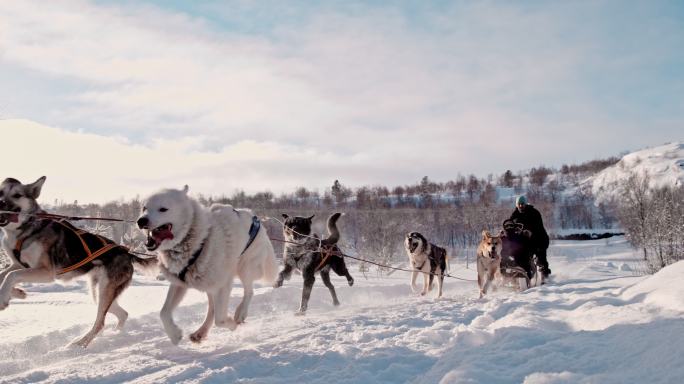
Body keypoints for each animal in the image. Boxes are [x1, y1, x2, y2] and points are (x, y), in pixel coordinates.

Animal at [136, 186, 278, 344]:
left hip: (245, 268)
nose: (141, 221)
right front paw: (174, 334)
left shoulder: (223, 284)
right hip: (209, 285)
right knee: (212, 309)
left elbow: (220, 320)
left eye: (163, 209)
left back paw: (240, 313)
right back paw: (201, 332)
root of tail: (255, 218)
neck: (198, 241)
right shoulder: (180, 283)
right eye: (144, 208)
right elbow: (163, 312)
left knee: (249, 291)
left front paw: (232, 324)